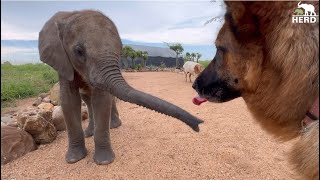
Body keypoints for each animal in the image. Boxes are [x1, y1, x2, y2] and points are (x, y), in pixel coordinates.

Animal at [37, 9, 202, 165]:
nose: (198, 125)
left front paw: (103, 162)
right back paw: (89, 133)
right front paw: (73, 160)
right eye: (78, 51)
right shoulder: (63, 61)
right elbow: (68, 101)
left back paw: (113, 126)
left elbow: (101, 99)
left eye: (120, 49)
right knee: (87, 98)